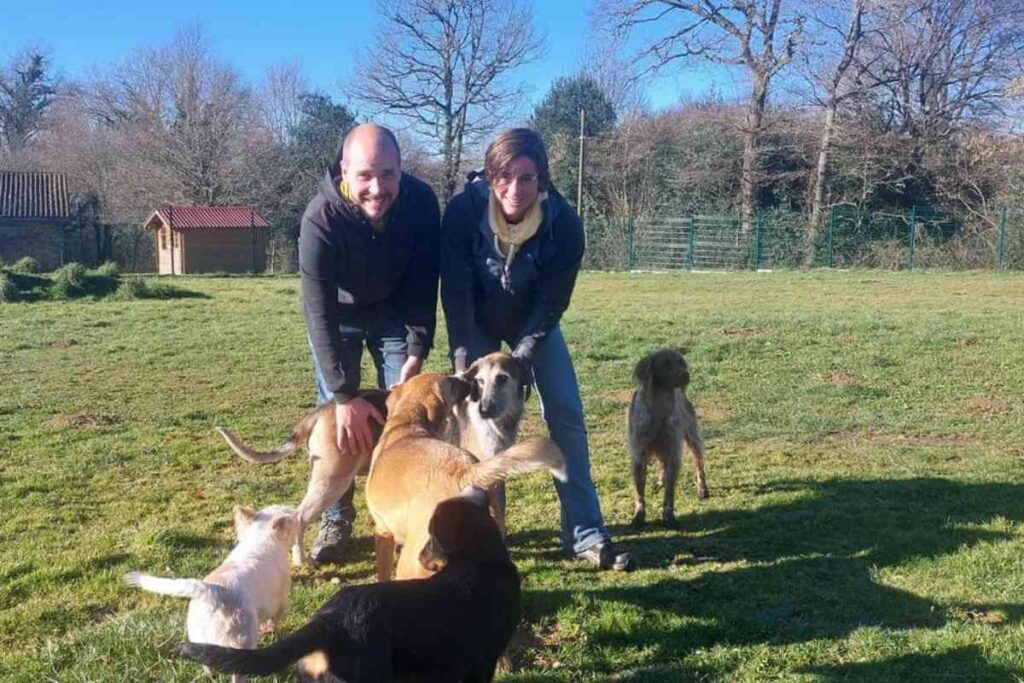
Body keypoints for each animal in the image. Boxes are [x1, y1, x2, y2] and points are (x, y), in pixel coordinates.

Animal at [125, 501, 299, 683]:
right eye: (291, 515)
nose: (297, 510)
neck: (260, 538)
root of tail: (212, 591)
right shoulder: (281, 601)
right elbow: (274, 621)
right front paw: (270, 631)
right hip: (242, 639)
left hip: (198, 637)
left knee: (207, 664)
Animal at [364, 374, 565, 581]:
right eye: (451, 383)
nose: (471, 380)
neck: (409, 423)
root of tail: (464, 472)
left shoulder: (382, 532)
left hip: (410, 563)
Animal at [626, 348, 708, 528]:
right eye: (665, 363)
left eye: (680, 362)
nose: (685, 374)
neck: (659, 409)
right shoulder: (639, 455)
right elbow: (639, 493)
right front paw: (639, 515)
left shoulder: (673, 452)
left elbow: (669, 493)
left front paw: (668, 515)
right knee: (662, 466)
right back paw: (659, 482)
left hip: (692, 438)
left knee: (698, 464)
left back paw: (702, 489)